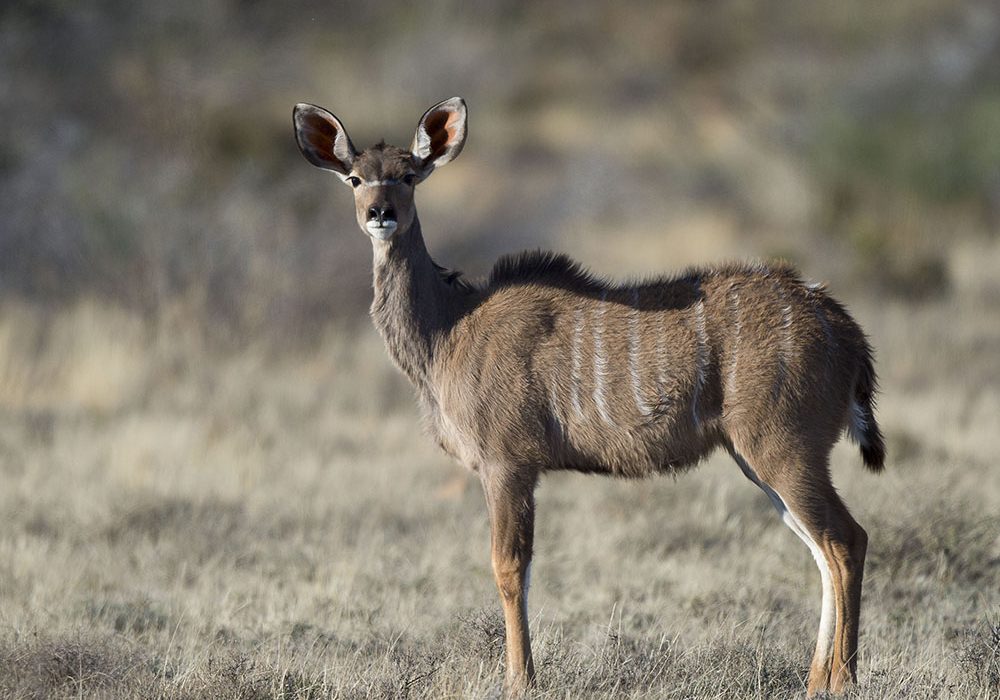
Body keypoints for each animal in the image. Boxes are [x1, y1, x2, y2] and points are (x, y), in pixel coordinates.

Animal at [292, 97, 885, 697]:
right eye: (355, 178)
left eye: (409, 176)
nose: (380, 213)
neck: (450, 329)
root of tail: (845, 329)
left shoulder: (508, 464)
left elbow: (509, 567)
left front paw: (521, 680)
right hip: (760, 458)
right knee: (821, 549)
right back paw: (815, 680)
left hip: (784, 447)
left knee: (845, 541)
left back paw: (842, 680)